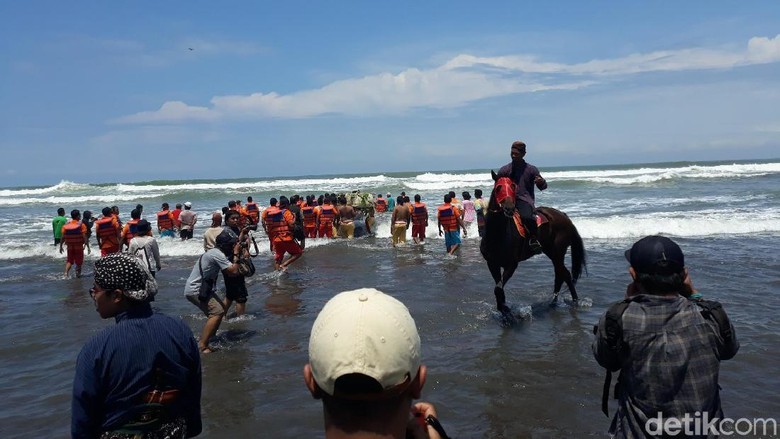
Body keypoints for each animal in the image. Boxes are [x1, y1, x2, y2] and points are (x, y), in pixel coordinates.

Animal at [482, 170, 584, 314]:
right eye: (498, 188)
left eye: (513, 186)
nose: (509, 208)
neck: (498, 235)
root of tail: (565, 217)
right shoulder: (492, 264)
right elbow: (499, 288)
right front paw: (502, 309)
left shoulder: (511, 265)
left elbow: (498, 289)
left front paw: (505, 309)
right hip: (551, 252)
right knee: (560, 274)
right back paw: (554, 302)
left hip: (558, 253)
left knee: (565, 274)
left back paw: (574, 300)